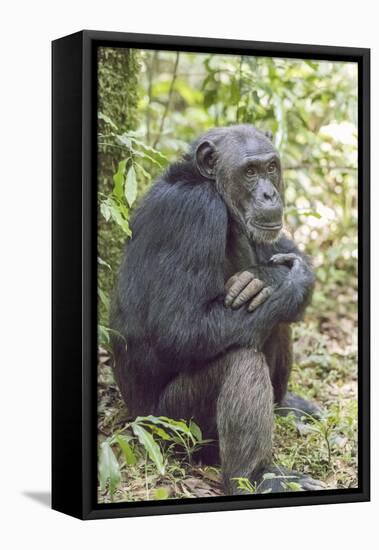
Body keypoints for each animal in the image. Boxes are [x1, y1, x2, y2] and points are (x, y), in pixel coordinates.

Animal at [111, 125, 326, 496]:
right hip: (176, 428)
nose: (269, 194)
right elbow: (180, 328)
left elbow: (282, 250)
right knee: (240, 360)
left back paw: (286, 405)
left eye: (271, 167)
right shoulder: (194, 213)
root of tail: (136, 422)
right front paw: (277, 276)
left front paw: (274, 275)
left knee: (276, 317)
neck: (210, 187)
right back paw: (257, 477)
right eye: (250, 172)